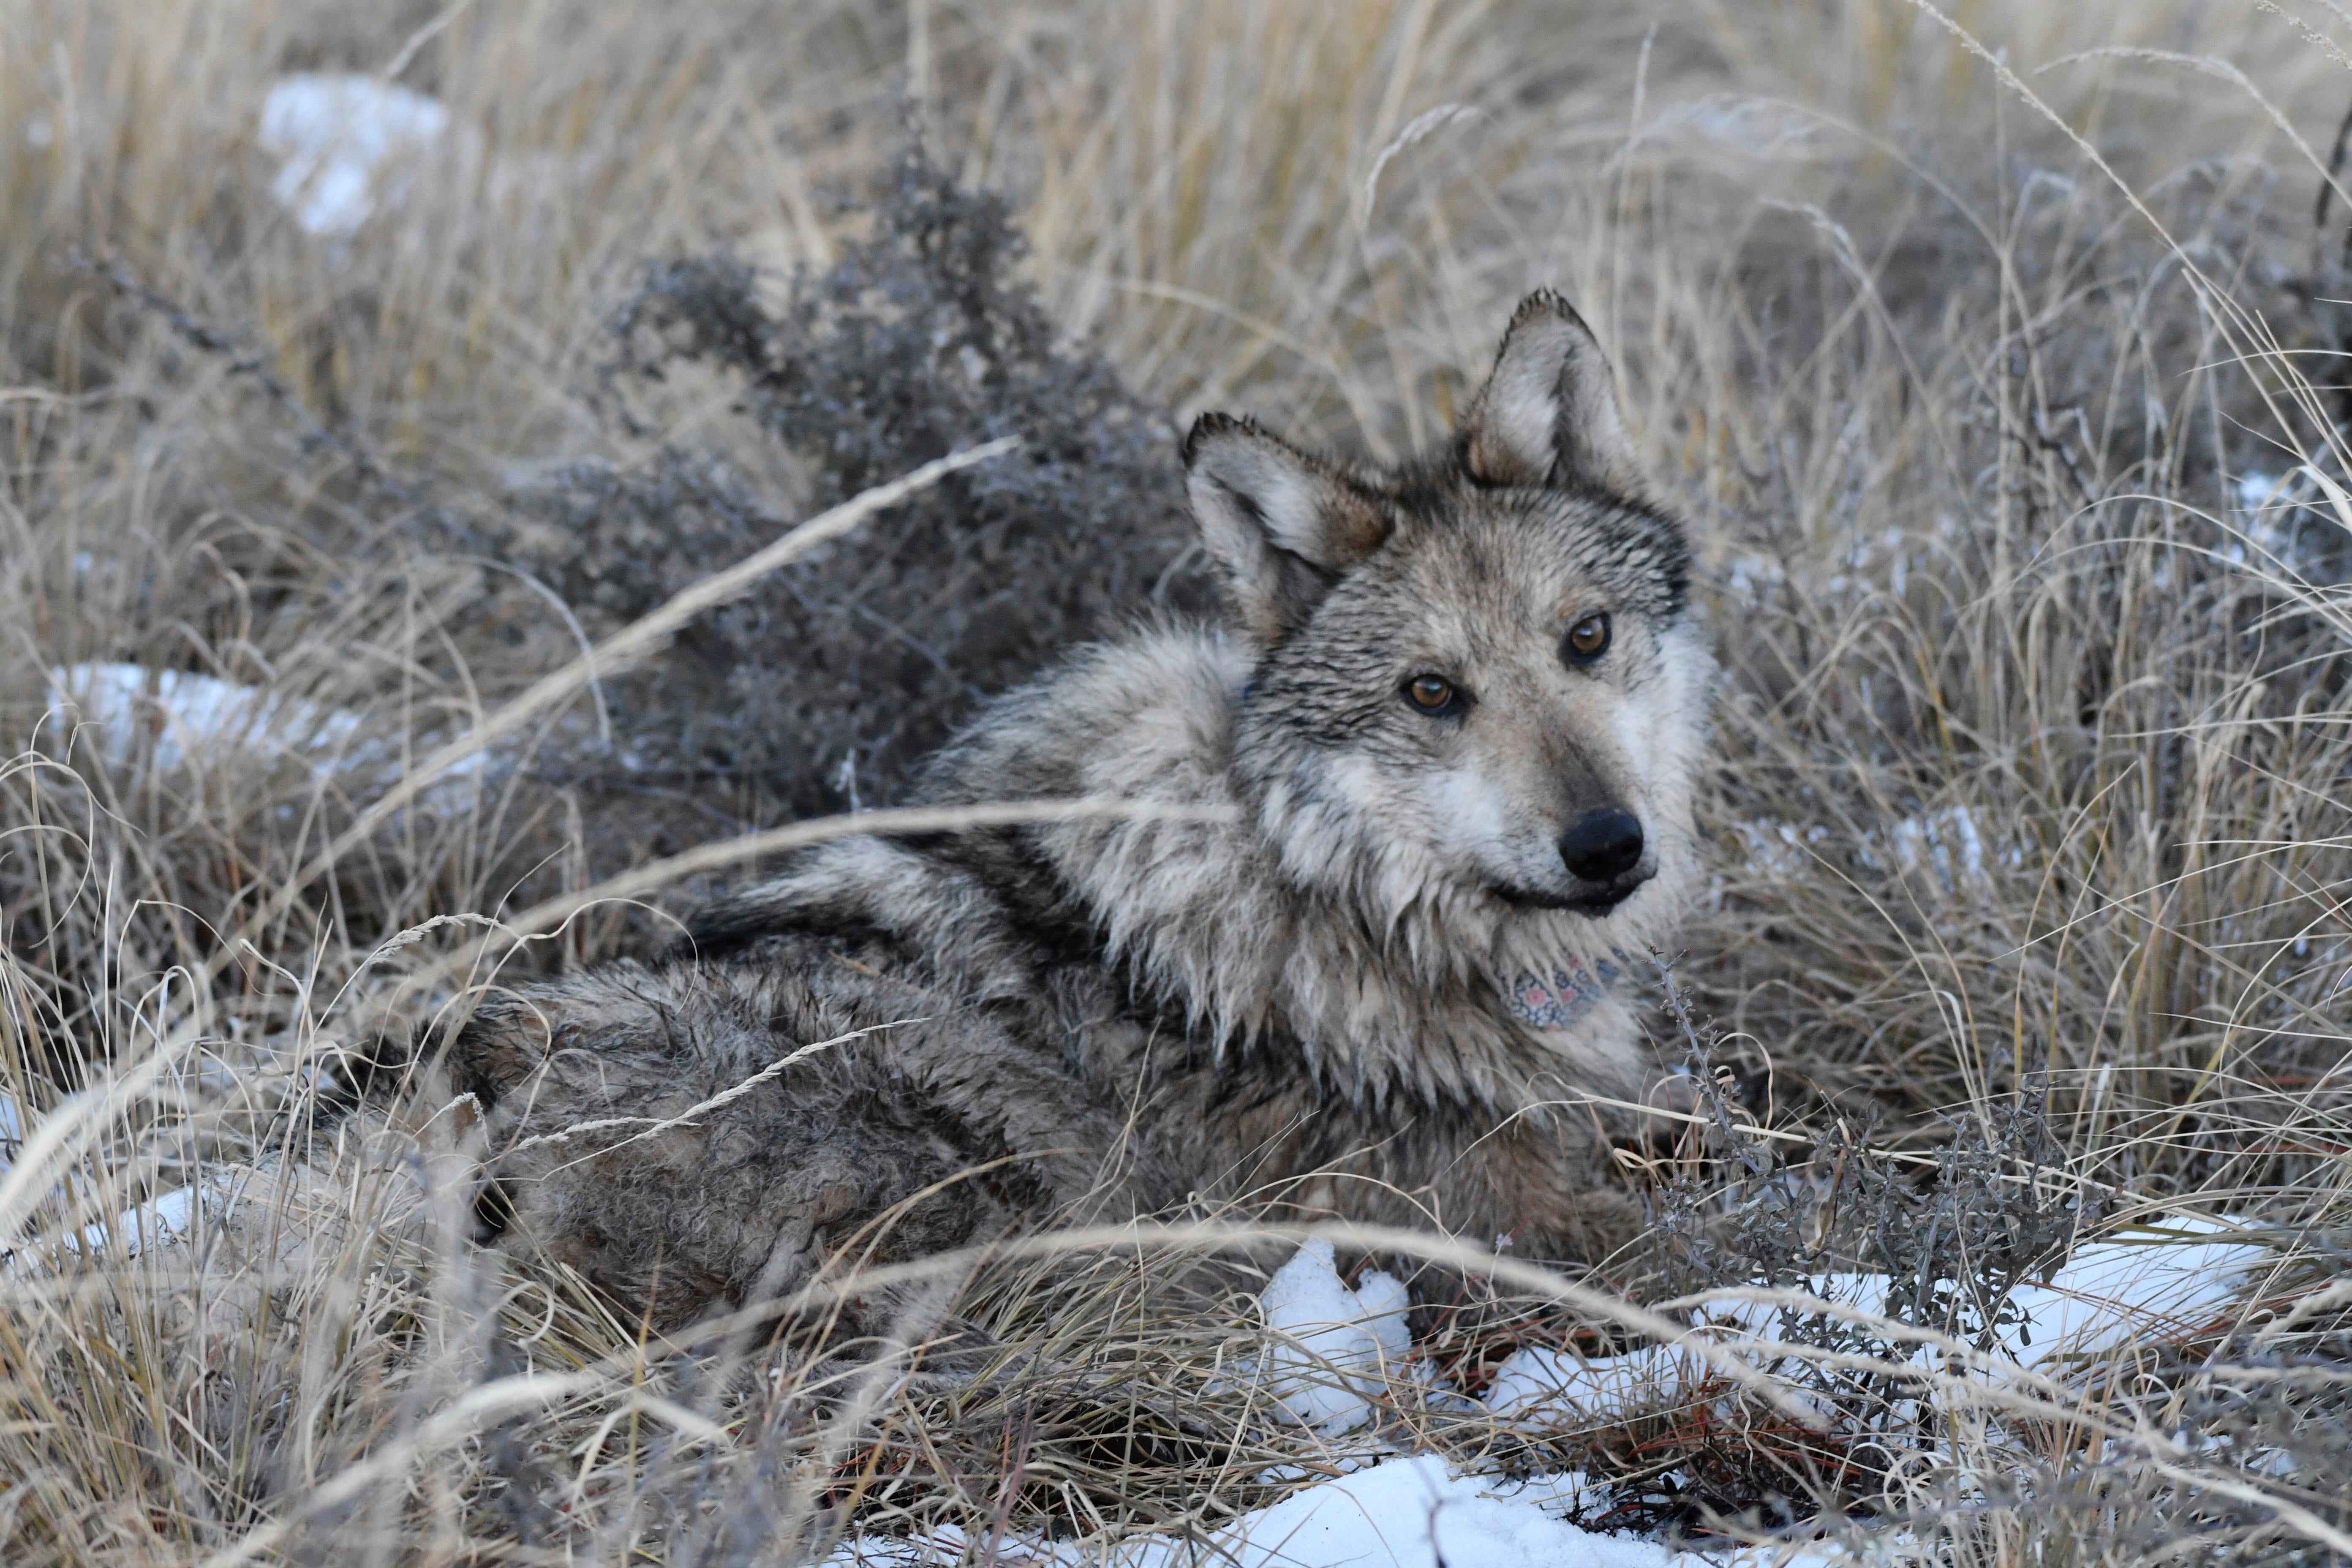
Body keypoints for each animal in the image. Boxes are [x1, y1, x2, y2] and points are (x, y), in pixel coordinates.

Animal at [442, 291, 1712, 1326]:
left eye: (1585, 637)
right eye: (1432, 693)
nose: (1606, 846)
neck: (1337, 897)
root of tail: (491, 1067)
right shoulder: (1510, 1227)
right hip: (1007, 1174)